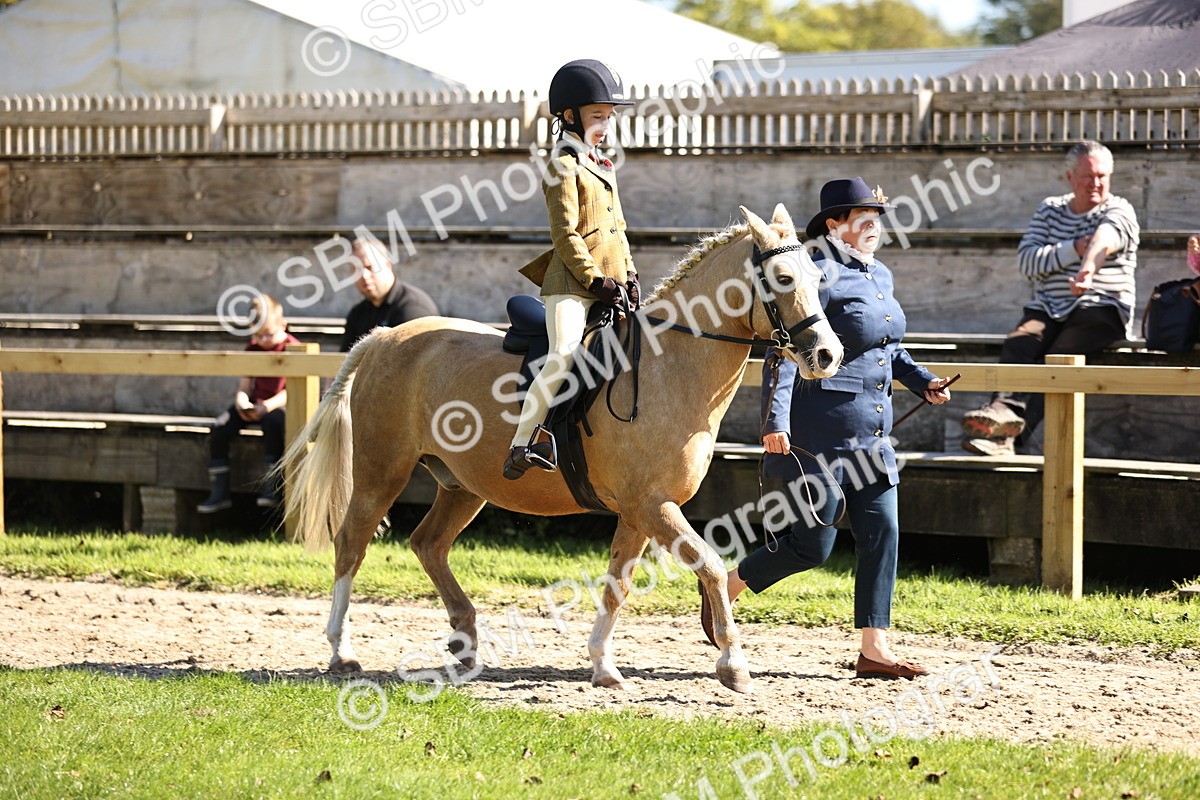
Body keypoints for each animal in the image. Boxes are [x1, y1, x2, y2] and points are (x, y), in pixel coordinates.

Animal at [279, 204, 844, 694]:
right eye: (784, 279)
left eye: (817, 279)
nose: (827, 355)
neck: (670, 366)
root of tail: (385, 337)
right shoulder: (652, 506)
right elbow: (707, 563)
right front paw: (733, 664)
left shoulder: (639, 512)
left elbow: (618, 583)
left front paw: (602, 666)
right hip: (381, 474)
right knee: (351, 545)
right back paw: (341, 651)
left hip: (463, 486)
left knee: (428, 544)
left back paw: (465, 642)